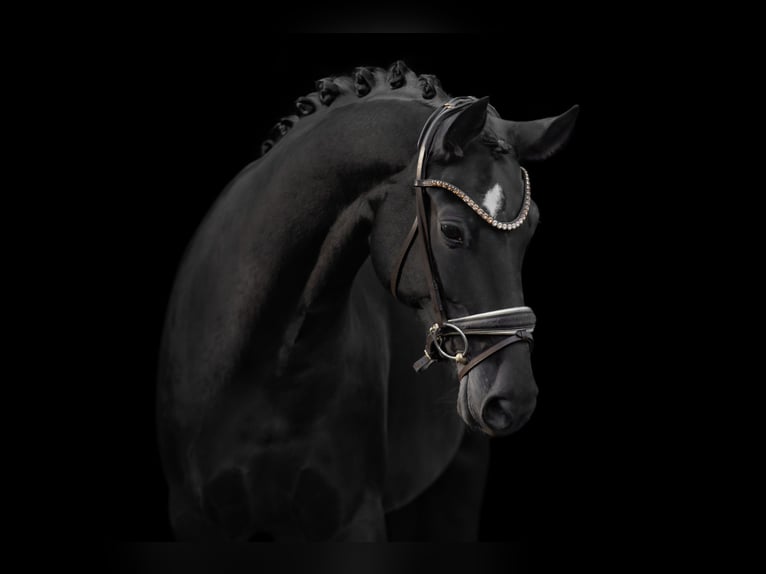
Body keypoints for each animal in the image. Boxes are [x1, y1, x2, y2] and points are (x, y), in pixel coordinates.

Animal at [156, 61, 578, 541]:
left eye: (533, 229)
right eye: (451, 231)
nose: (515, 398)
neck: (273, 365)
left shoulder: (354, 517)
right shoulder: (194, 517)